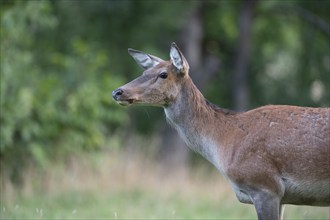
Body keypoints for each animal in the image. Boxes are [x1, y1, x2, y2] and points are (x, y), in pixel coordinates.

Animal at [113, 42, 330, 219]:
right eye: (143, 73)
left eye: (163, 74)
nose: (117, 91)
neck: (223, 141)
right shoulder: (281, 197)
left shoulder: (265, 186)